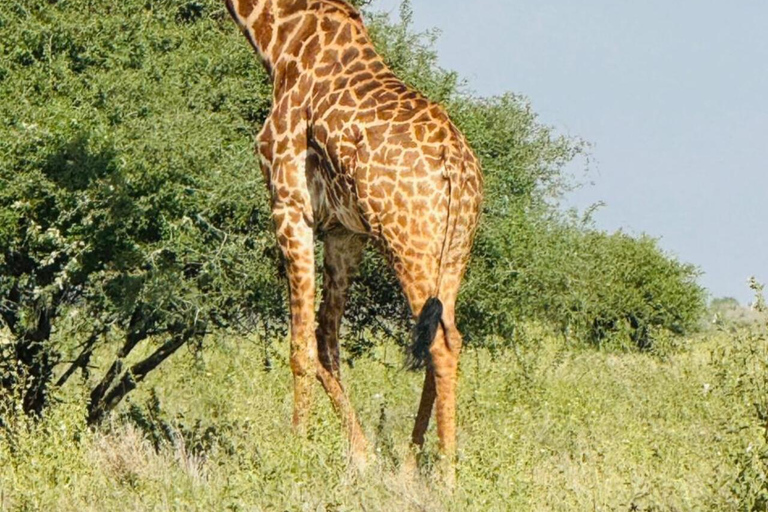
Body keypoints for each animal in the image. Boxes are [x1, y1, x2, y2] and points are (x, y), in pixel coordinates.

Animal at [224, 0, 483, 466]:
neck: (280, 42)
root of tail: (455, 161)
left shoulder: (290, 205)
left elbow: (301, 345)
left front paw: (295, 453)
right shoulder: (344, 232)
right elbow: (326, 341)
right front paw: (362, 457)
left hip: (408, 242)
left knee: (439, 344)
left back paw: (445, 472)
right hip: (454, 249)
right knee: (448, 338)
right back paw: (410, 466)